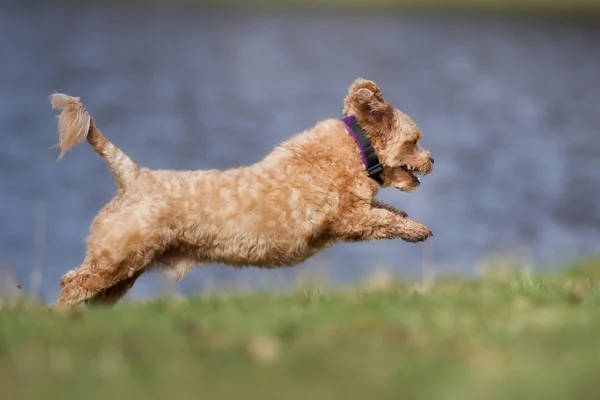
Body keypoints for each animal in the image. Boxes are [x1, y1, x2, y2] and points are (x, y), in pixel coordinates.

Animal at [49, 78, 434, 310]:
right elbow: (380, 218)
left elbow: (385, 209)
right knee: (72, 283)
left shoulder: (354, 211)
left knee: (92, 292)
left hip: (127, 268)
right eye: (414, 141)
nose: (432, 159)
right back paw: (58, 316)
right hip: (117, 257)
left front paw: (407, 219)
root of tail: (132, 177)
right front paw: (416, 229)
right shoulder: (343, 217)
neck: (356, 149)